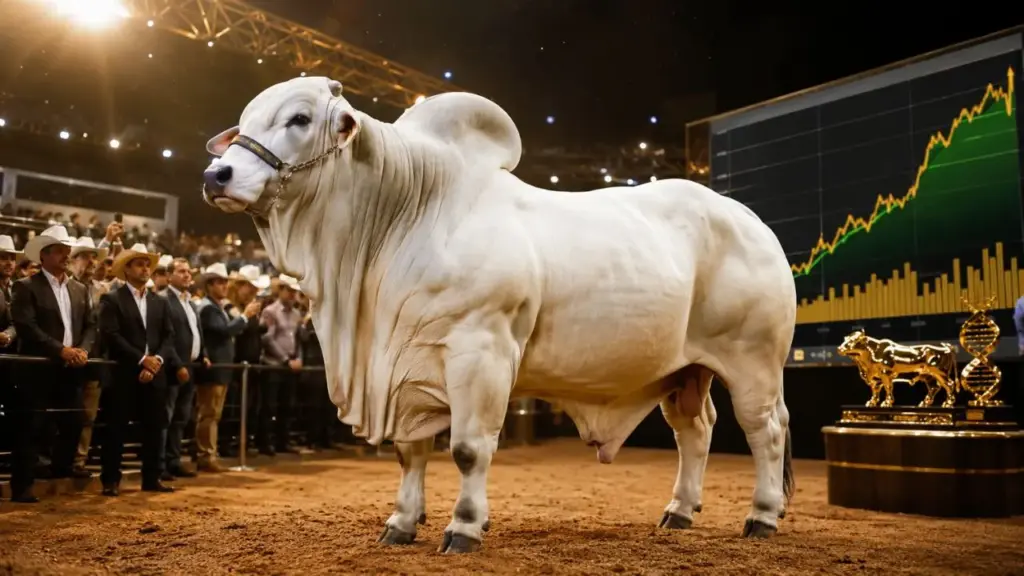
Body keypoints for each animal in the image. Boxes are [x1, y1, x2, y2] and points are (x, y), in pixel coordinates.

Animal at [200, 77, 797, 553]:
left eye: (300, 118)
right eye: (244, 123)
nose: (216, 174)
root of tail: (748, 218)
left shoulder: (479, 351)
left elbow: (468, 449)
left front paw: (464, 528)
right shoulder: (404, 366)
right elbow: (410, 452)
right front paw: (401, 523)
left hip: (754, 361)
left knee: (765, 430)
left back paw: (762, 516)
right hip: (684, 371)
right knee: (695, 431)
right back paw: (678, 512)